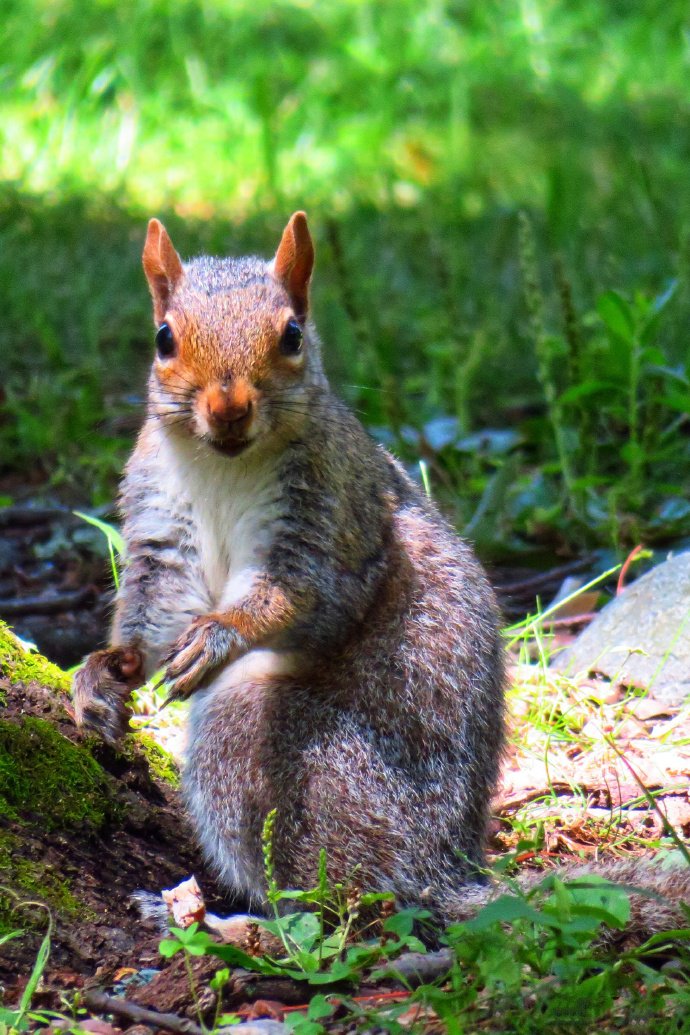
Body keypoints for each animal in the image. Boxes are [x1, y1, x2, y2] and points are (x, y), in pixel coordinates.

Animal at [72, 214, 686, 935]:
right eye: (164, 337)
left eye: (292, 335)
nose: (228, 409)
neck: (223, 463)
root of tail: (439, 870)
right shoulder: (163, 518)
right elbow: (155, 598)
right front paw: (106, 672)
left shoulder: (334, 512)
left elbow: (309, 597)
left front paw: (221, 633)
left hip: (262, 739)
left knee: (340, 905)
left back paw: (228, 923)